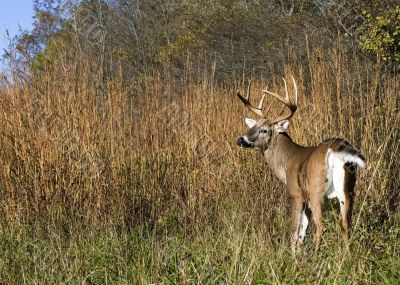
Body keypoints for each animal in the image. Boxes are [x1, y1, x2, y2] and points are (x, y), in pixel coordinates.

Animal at [238, 75, 366, 253]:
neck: (286, 163)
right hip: (348, 189)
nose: (241, 140)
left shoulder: (297, 194)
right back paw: (346, 255)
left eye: (264, 130)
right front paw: (298, 254)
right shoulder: (305, 200)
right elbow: (302, 232)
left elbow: (294, 230)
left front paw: (291, 255)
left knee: (321, 226)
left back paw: (317, 255)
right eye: (253, 126)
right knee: (346, 225)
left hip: (316, 190)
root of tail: (336, 148)